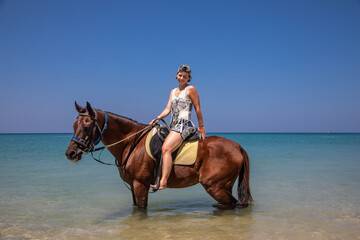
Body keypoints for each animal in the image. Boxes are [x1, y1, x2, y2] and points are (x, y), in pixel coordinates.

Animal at [65, 102, 253, 209]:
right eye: (74, 125)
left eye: (87, 126)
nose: (70, 153)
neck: (131, 142)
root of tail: (237, 146)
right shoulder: (133, 186)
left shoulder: (140, 184)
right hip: (224, 186)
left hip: (214, 187)